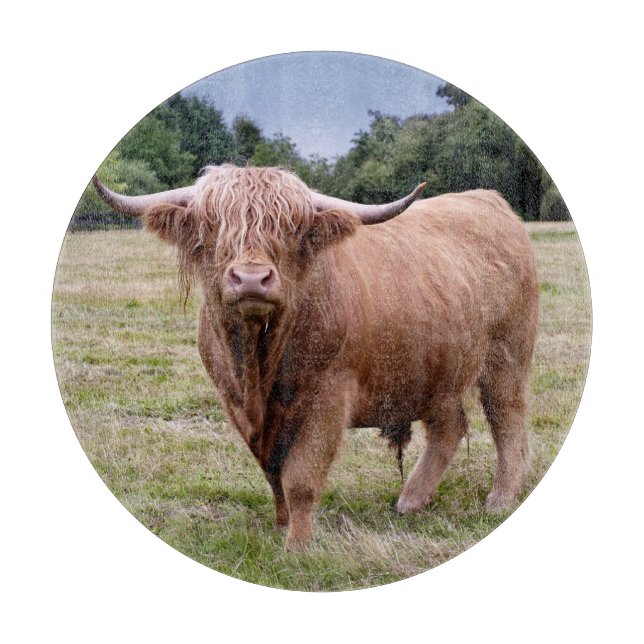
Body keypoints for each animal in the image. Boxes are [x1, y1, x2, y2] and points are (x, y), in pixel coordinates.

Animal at [93, 165, 539, 550]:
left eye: (290, 227)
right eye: (212, 224)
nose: (251, 279)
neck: (258, 365)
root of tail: (489, 199)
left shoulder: (329, 395)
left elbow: (301, 478)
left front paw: (299, 546)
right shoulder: (236, 402)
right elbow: (273, 473)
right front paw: (281, 526)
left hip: (506, 355)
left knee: (507, 418)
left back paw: (499, 497)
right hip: (436, 365)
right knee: (448, 427)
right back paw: (411, 500)